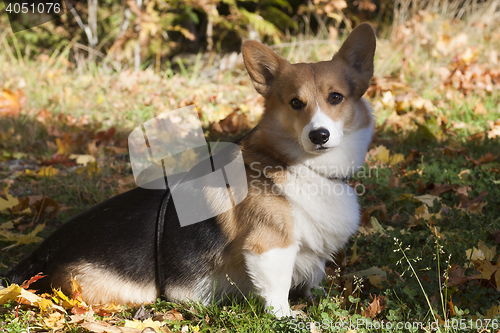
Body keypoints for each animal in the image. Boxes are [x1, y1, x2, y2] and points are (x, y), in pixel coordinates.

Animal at [4, 22, 376, 318]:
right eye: (296, 103)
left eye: (335, 97)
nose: (319, 135)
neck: (299, 165)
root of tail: (44, 250)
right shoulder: (269, 246)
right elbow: (276, 291)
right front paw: (288, 318)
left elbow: (315, 278)